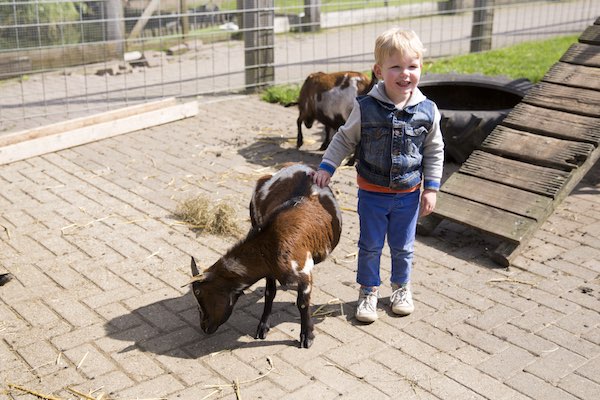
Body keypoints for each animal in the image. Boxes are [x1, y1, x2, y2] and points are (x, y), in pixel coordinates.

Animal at [188, 164, 340, 348]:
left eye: (199, 295)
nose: (204, 327)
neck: (271, 241)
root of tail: (297, 166)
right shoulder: (270, 271)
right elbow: (269, 293)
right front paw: (262, 327)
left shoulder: (304, 271)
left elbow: (303, 304)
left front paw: (307, 336)